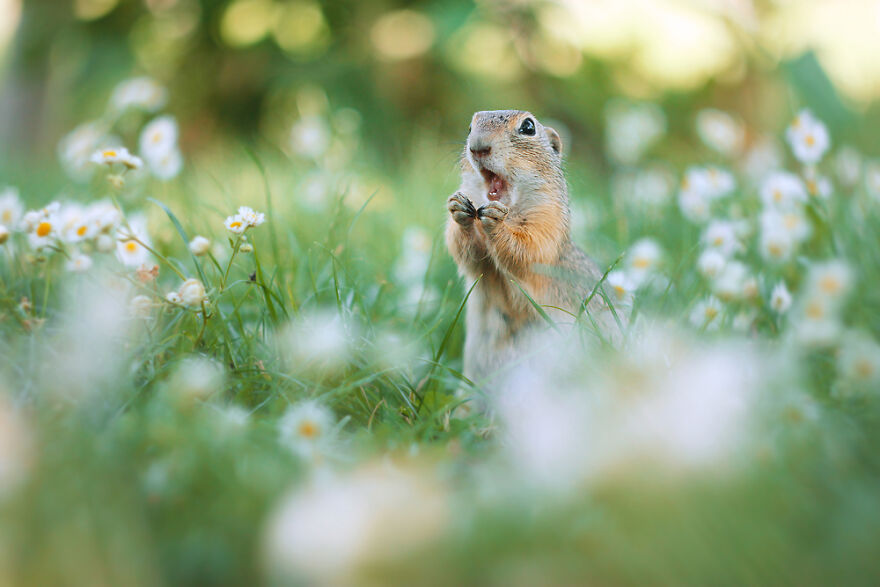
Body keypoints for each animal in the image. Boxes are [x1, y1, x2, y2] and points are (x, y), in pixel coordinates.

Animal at [444, 110, 624, 396]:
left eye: (528, 127)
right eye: (470, 127)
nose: (478, 146)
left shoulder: (546, 227)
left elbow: (527, 252)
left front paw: (496, 223)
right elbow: (468, 255)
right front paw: (458, 208)